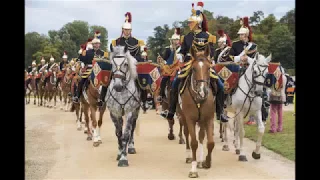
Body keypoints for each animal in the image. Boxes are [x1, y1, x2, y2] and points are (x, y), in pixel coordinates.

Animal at [179, 44, 216, 177]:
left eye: (209, 68)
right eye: (194, 69)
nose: (202, 91)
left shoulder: (208, 118)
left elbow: (210, 142)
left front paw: (206, 162)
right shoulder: (190, 119)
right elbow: (194, 142)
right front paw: (193, 170)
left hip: (201, 120)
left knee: (201, 137)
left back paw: (200, 161)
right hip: (183, 117)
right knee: (186, 134)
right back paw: (189, 156)